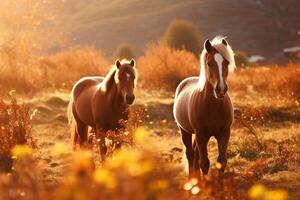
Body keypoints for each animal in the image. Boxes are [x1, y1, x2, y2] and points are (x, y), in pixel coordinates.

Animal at [173, 36, 237, 177]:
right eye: (209, 63)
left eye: (227, 62)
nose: (221, 89)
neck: (213, 107)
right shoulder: (200, 134)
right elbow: (204, 163)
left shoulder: (224, 133)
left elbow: (221, 161)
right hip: (185, 131)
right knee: (190, 154)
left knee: (195, 154)